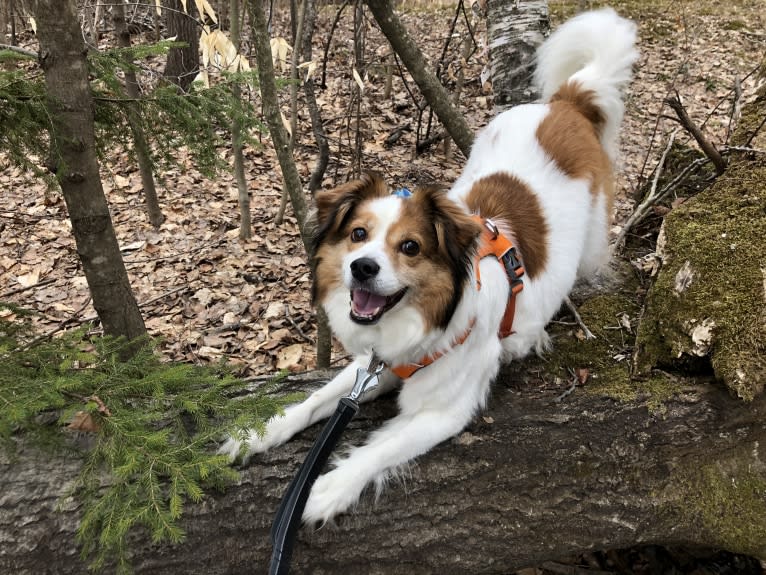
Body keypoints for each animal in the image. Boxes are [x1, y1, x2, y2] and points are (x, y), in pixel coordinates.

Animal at [224, 7, 640, 528]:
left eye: (411, 247)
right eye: (358, 234)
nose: (362, 268)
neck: (419, 324)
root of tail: (563, 104)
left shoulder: (444, 410)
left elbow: (379, 450)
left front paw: (325, 490)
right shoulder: (369, 367)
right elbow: (317, 400)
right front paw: (261, 433)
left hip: (590, 236)